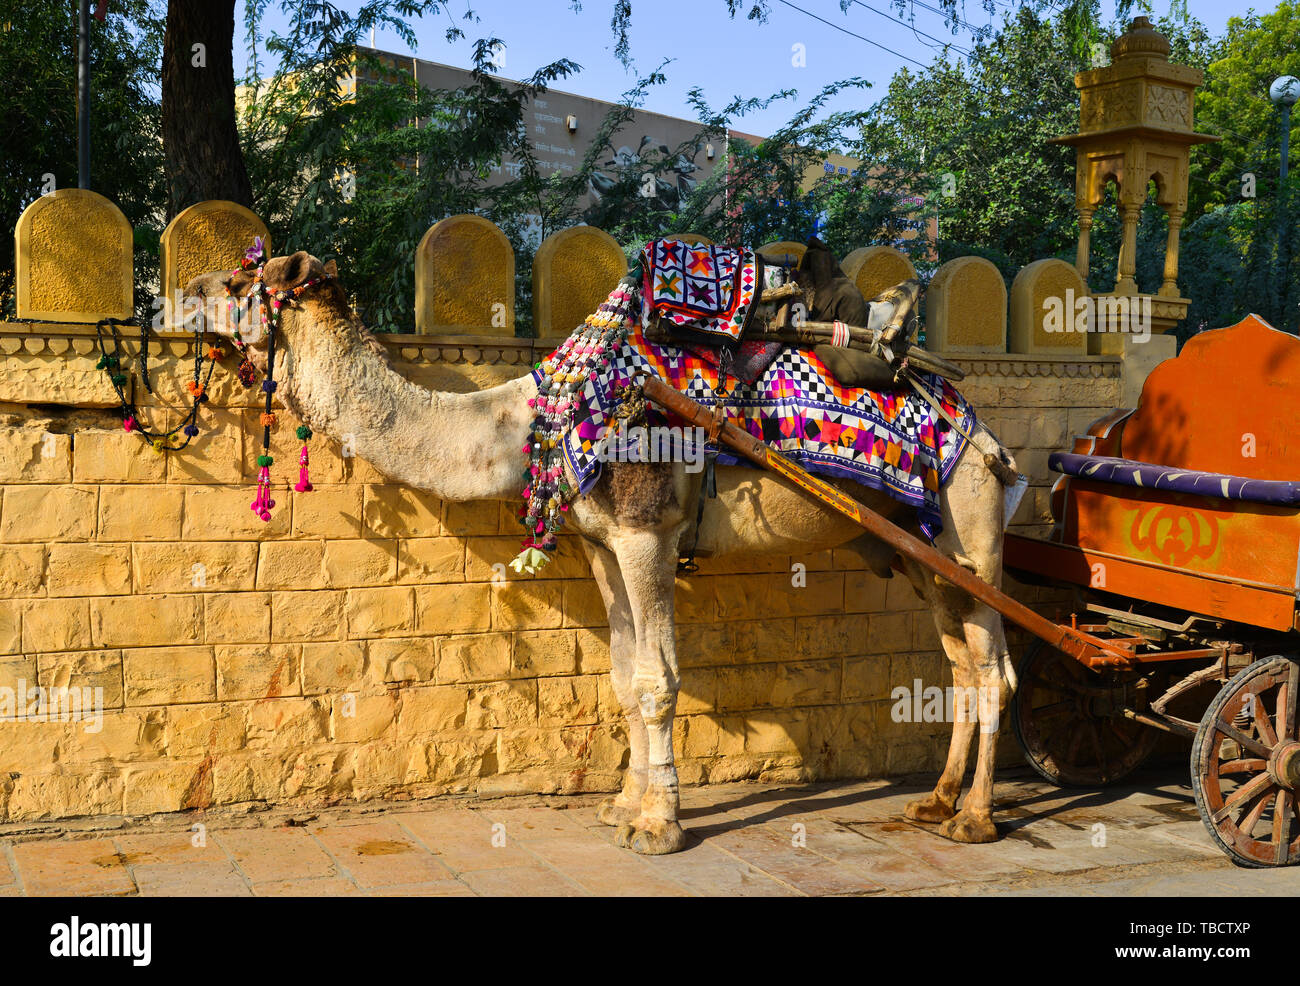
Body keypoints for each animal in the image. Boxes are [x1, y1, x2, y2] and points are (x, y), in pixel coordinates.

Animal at [185, 252, 1013, 858]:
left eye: (240, 282)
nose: (183, 289)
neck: (537, 421)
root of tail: (983, 431)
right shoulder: (601, 545)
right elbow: (621, 677)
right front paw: (623, 804)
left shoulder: (648, 532)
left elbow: (657, 680)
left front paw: (658, 826)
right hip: (915, 549)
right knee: (958, 659)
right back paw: (936, 800)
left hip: (969, 527)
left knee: (994, 665)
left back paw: (974, 819)